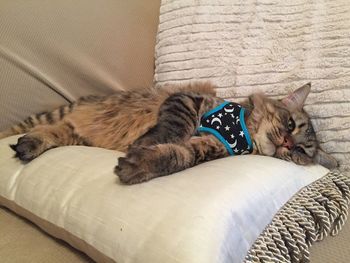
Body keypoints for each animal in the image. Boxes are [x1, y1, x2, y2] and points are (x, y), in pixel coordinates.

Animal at [0, 82, 336, 184]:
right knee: (41, 126)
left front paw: (139, 164)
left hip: (73, 133)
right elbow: (174, 129)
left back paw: (28, 145)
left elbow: (176, 156)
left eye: (301, 152)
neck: (243, 131)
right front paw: (149, 141)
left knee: (52, 132)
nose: (287, 143)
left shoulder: (206, 149)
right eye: (290, 125)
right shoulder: (188, 100)